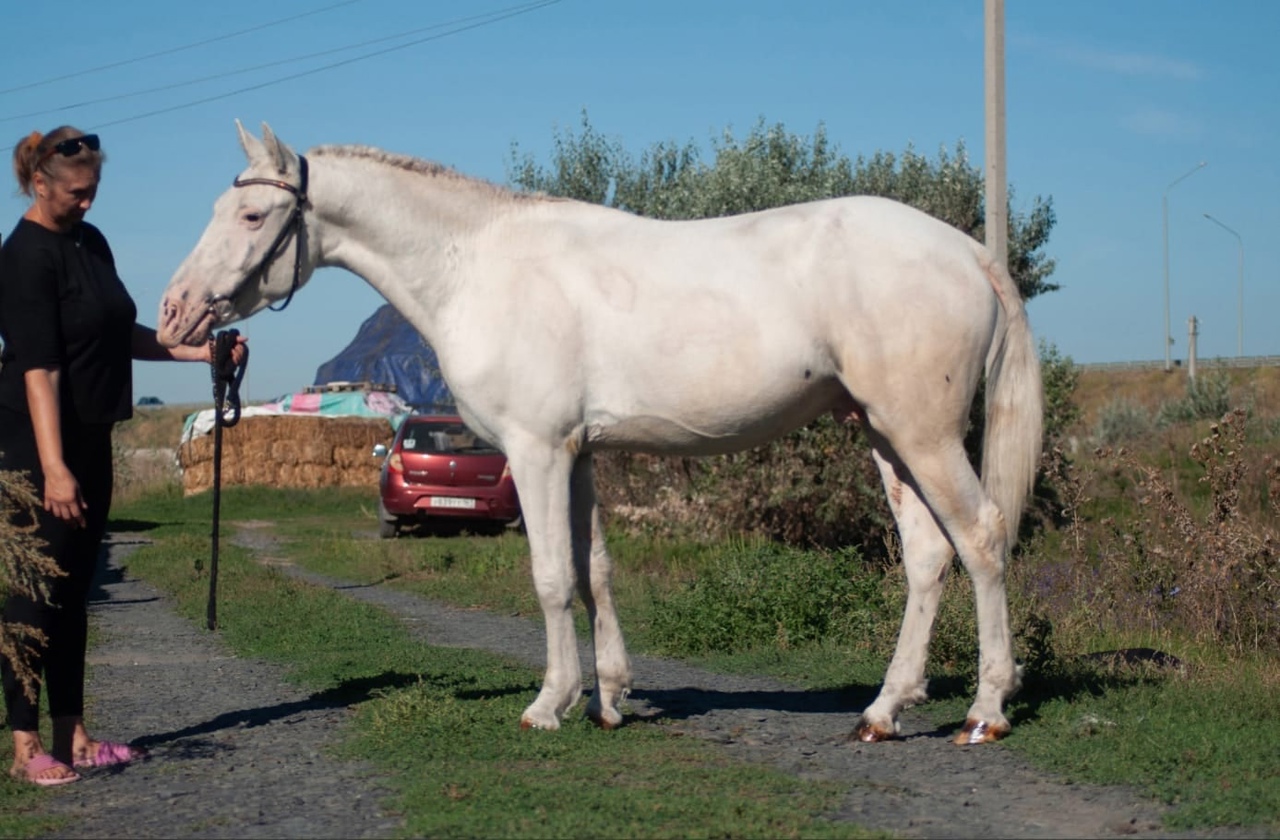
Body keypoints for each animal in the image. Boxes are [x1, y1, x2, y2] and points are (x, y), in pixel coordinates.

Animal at [158, 122, 1043, 745]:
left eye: (251, 212)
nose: (174, 313)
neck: (476, 264)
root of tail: (967, 250)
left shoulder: (537, 451)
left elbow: (552, 577)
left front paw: (550, 703)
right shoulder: (578, 454)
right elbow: (596, 573)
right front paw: (610, 698)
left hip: (923, 434)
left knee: (982, 537)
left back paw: (986, 710)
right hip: (886, 434)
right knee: (927, 557)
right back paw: (883, 711)